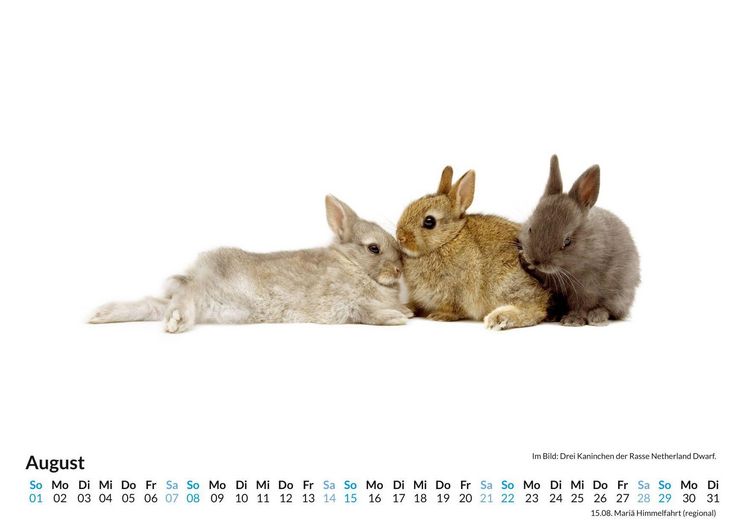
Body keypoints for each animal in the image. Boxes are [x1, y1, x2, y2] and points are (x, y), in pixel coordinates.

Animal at [89, 195, 412, 332]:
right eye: (373, 248)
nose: (399, 269)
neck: (352, 265)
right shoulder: (344, 302)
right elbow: (364, 312)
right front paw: (396, 318)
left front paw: (406, 311)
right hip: (207, 290)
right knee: (183, 294)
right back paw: (177, 320)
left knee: (154, 304)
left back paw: (102, 314)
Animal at [395, 166, 550, 331]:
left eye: (429, 222)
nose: (400, 237)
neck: (448, 239)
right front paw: (405, 308)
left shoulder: (456, 292)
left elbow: (454, 309)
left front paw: (440, 316)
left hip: (507, 284)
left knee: (536, 310)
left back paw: (499, 318)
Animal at [517, 155, 641, 326]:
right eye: (530, 229)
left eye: (567, 241)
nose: (536, 261)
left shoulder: (587, 288)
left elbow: (582, 305)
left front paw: (573, 320)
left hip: (620, 296)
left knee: (611, 310)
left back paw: (597, 317)